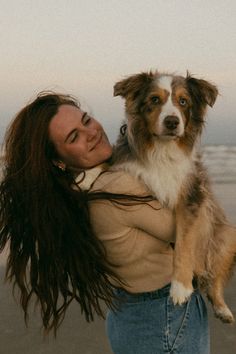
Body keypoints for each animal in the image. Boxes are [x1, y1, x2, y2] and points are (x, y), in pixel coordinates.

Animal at [111, 70, 236, 322]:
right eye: (154, 99)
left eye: (184, 102)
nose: (172, 122)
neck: (163, 150)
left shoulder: (191, 198)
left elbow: (184, 244)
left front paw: (180, 288)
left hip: (227, 236)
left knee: (214, 279)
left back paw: (222, 309)